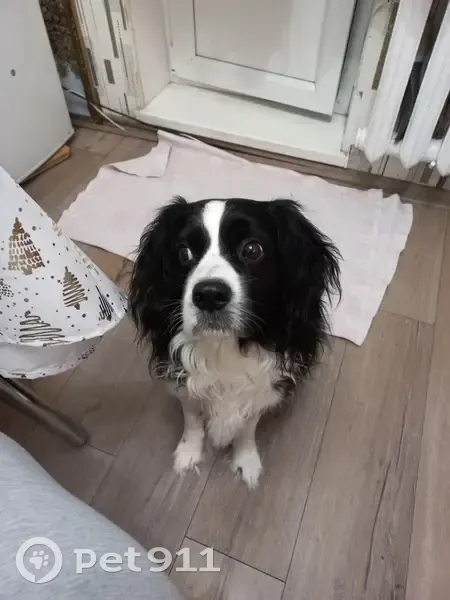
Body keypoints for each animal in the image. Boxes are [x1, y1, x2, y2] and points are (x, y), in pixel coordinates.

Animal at [129, 197, 340, 487]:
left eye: (252, 249)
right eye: (184, 253)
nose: (209, 295)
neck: (224, 347)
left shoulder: (262, 386)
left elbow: (248, 426)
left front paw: (246, 460)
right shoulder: (183, 379)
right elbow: (192, 417)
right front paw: (188, 452)